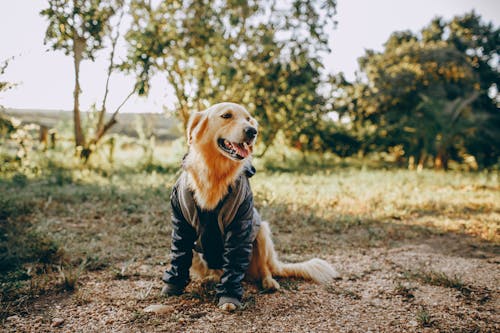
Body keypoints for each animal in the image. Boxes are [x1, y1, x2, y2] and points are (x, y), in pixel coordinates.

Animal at [162, 102, 338, 310]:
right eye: (226, 116)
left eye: (248, 119)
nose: (252, 131)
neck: (215, 173)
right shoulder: (181, 223)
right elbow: (179, 256)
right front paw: (173, 286)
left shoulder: (241, 223)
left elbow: (233, 264)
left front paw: (229, 297)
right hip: (199, 255)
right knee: (214, 272)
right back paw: (210, 279)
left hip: (261, 231)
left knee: (263, 268)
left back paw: (268, 282)